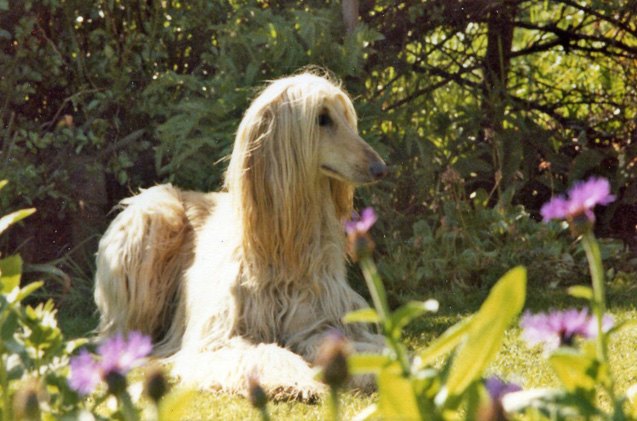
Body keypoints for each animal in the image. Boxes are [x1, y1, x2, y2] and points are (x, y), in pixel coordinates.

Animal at [93, 72, 388, 400]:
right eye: (322, 119)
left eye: (346, 118)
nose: (380, 168)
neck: (285, 246)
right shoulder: (221, 337)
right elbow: (260, 353)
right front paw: (293, 381)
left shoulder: (317, 323)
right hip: (153, 214)